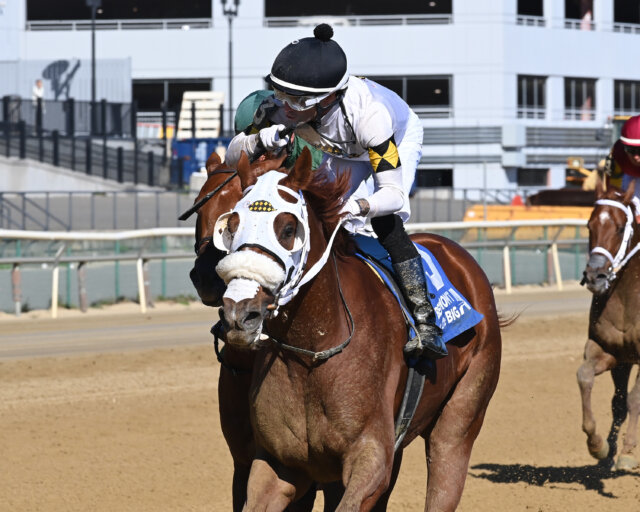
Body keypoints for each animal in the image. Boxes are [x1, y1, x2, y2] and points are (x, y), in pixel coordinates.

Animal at [216, 149, 504, 512]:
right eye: (231, 226)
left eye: (288, 228)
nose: (240, 314)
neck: (315, 349)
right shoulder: (279, 462)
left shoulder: (371, 458)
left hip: (461, 418)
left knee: (446, 459)